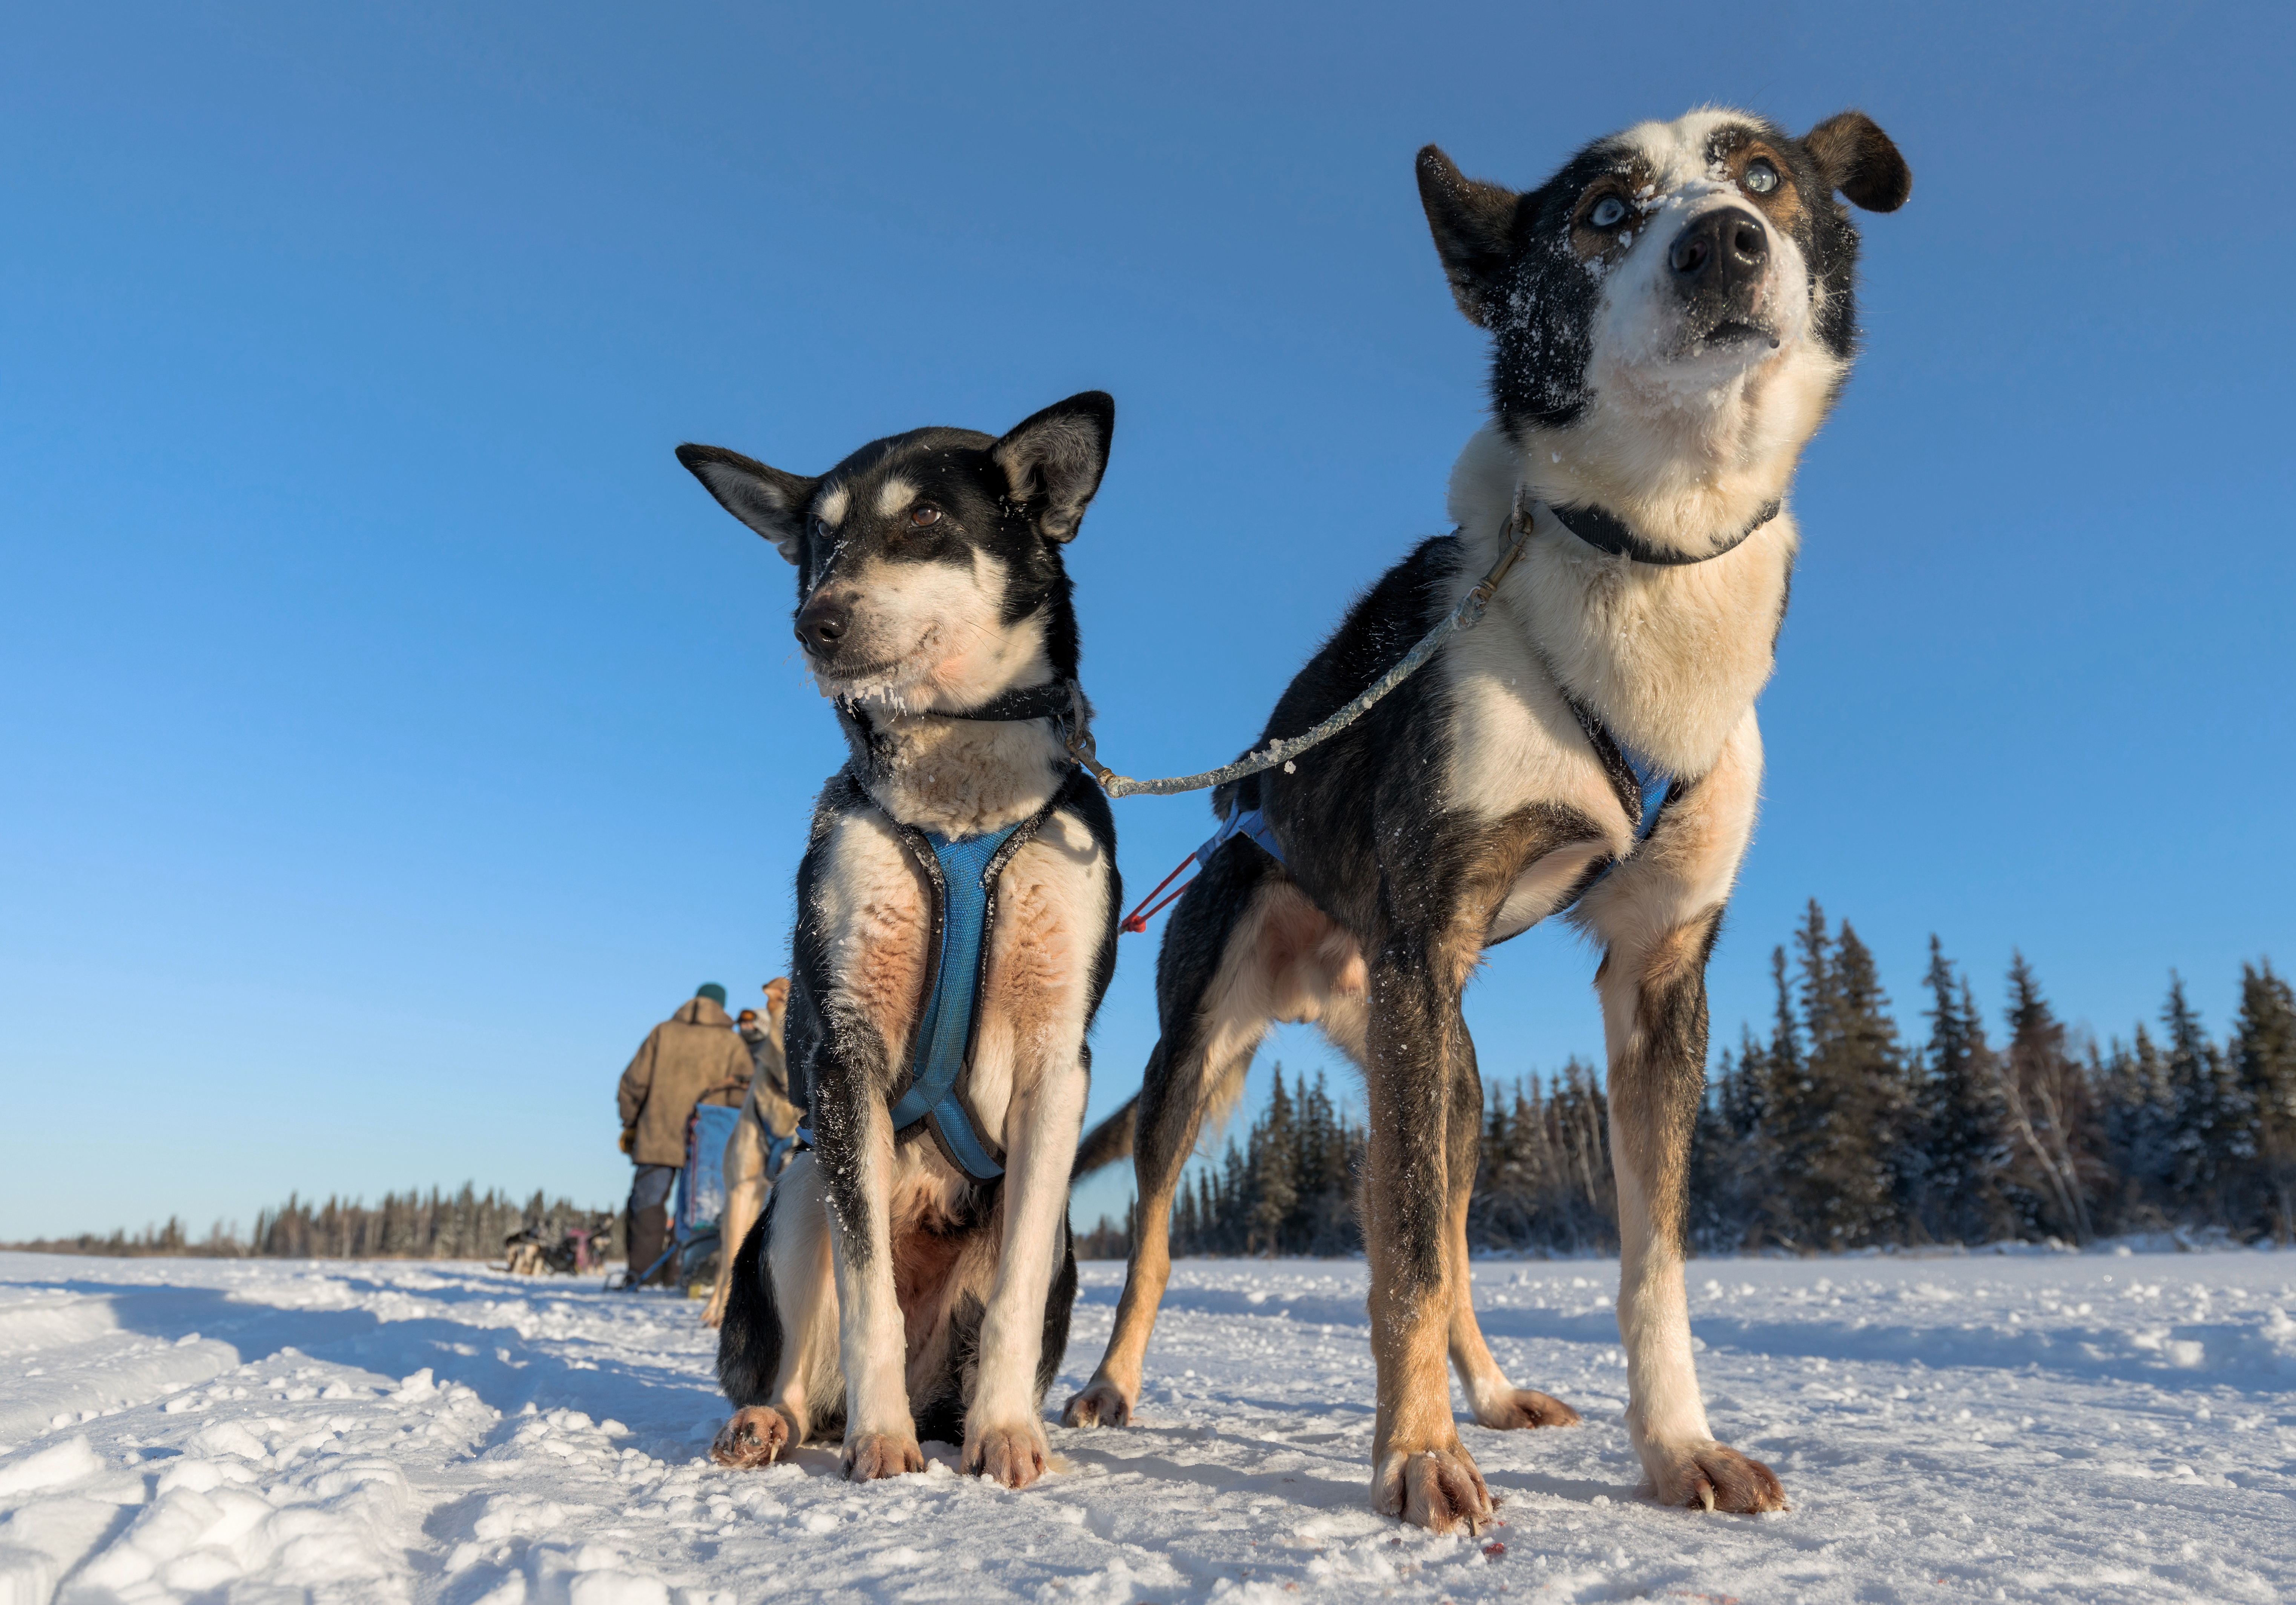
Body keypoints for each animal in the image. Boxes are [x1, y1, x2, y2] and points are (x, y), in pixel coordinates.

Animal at [670, 395, 1120, 1488]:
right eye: (817, 542)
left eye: (923, 519)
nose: (815, 621)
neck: (958, 811)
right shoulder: (847, 1057)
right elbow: (865, 1291)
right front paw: (880, 1443)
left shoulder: (1058, 1064)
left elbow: (1011, 1304)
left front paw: (1009, 1433)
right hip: (796, 1192)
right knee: (800, 1369)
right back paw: (776, 1421)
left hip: (1055, 1236)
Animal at [1065, 107, 1910, 1534]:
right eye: (1603, 213)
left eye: (1762, 177)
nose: (1722, 243)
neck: (1644, 561)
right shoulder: (1427, 937)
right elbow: (1402, 1255)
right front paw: (1413, 1454)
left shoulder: (1658, 972)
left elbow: (1642, 1259)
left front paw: (1673, 1445)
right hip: (1217, 1049)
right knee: (1170, 1234)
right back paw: (1112, 1385)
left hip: (1443, 1068)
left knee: (1445, 1227)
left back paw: (1494, 1391)